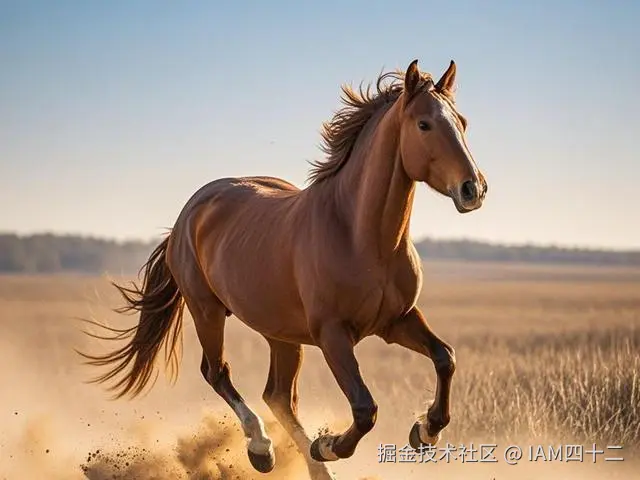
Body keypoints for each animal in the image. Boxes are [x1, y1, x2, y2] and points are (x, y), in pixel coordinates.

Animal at [78, 58, 487, 480]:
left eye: (462, 122)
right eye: (424, 124)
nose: (473, 189)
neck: (362, 238)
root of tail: (188, 214)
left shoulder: (397, 321)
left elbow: (445, 358)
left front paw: (425, 431)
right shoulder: (332, 334)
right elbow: (365, 409)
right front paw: (328, 445)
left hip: (281, 333)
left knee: (277, 395)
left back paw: (310, 466)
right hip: (207, 310)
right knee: (218, 372)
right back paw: (262, 449)